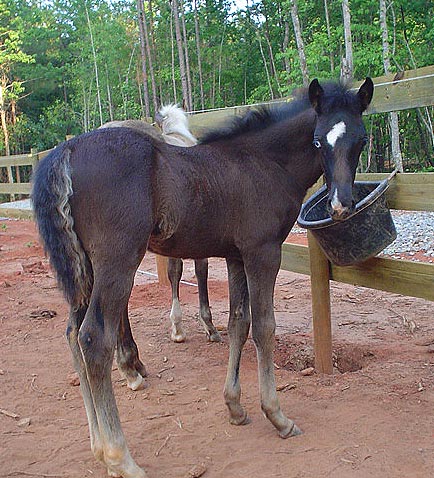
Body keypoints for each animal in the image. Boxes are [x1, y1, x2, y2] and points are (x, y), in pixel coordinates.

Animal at [33, 76, 372, 476]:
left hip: (83, 268)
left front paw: (235, 407)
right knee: (93, 338)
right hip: (118, 260)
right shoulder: (263, 251)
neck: (264, 163)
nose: (340, 205)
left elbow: (238, 323)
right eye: (319, 141)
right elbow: (264, 327)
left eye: (361, 140)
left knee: (72, 333)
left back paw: (99, 448)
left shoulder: (236, 256)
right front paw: (277, 416)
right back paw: (120, 455)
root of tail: (66, 150)